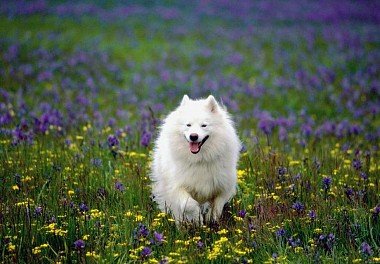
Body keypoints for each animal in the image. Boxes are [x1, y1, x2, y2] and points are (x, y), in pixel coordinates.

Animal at [149, 95, 240, 225]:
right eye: (188, 125)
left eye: (204, 125)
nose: (193, 136)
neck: (200, 159)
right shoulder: (177, 187)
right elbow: (189, 205)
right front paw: (197, 220)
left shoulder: (224, 186)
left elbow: (217, 205)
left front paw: (211, 218)